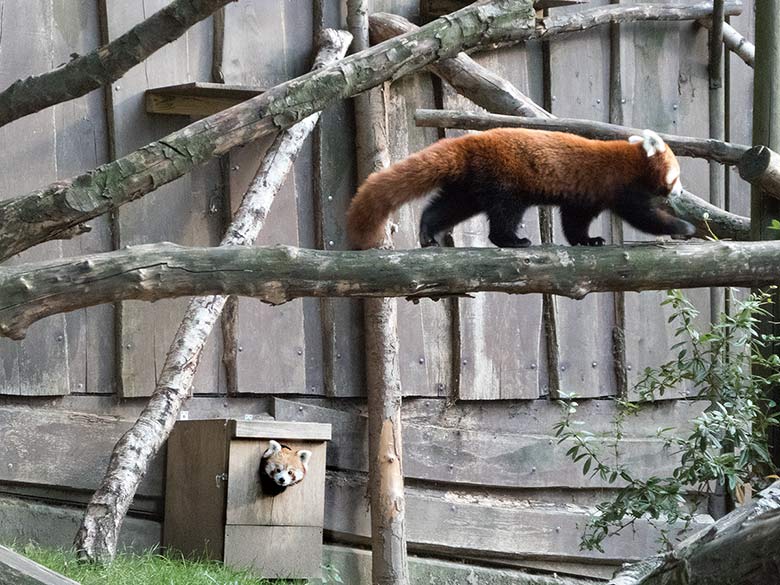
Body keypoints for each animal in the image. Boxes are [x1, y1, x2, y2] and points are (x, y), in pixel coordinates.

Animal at [348, 126, 696, 248]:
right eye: (678, 177)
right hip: (504, 178)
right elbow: (643, 216)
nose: (679, 192)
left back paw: (427, 231)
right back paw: (512, 240)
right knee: (505, 213)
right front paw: (684, 227)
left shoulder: (585, 195)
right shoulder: (621, 186)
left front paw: (587, 240)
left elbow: (575, 221)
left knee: (448, 206)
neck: (633, 159)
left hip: (472, 184)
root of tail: (470, 142)